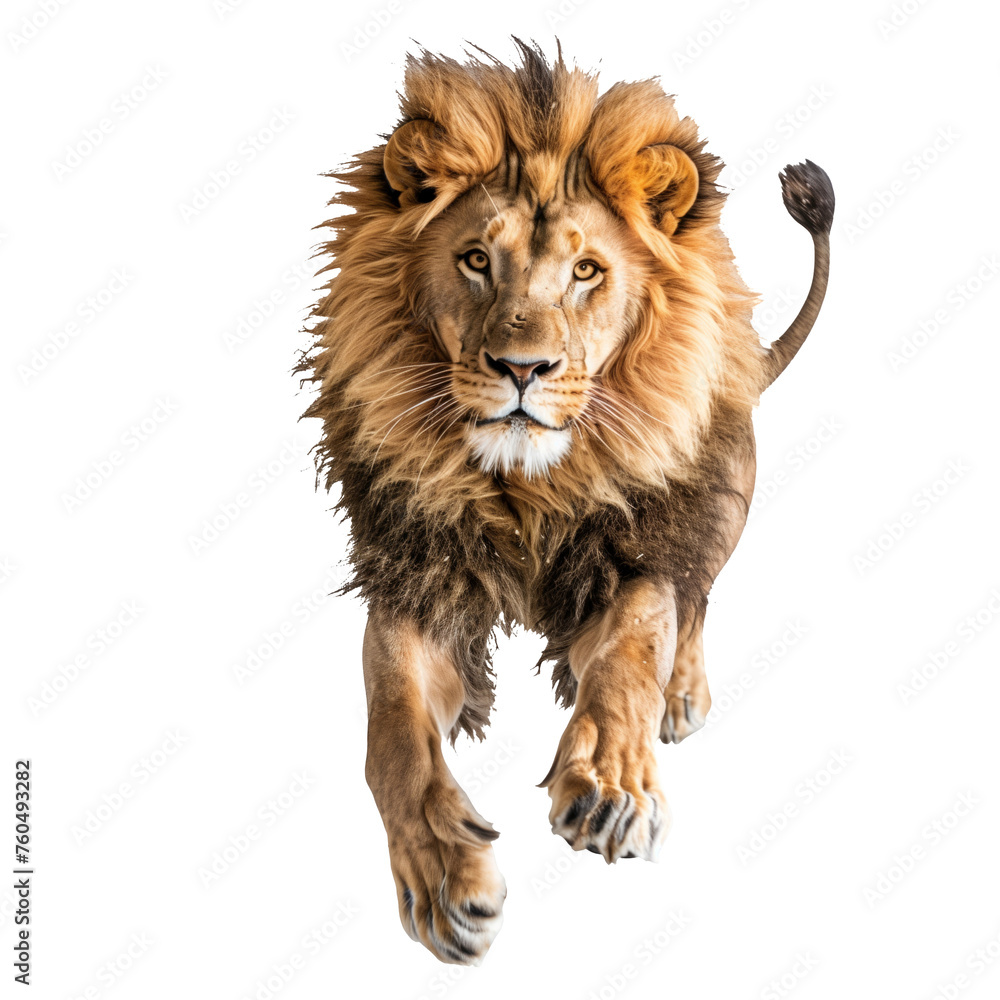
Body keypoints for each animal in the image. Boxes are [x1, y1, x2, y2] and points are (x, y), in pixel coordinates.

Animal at [297, 40, 833, 965]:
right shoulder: (418, 582)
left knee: (697, 598)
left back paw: (681, 696)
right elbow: (394, 740)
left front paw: (612, 786)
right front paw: (446, 881)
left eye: (586, 272)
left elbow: (627, 662)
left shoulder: (633, 556)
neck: (524, 491)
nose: (523, 369)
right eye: (477, 260)